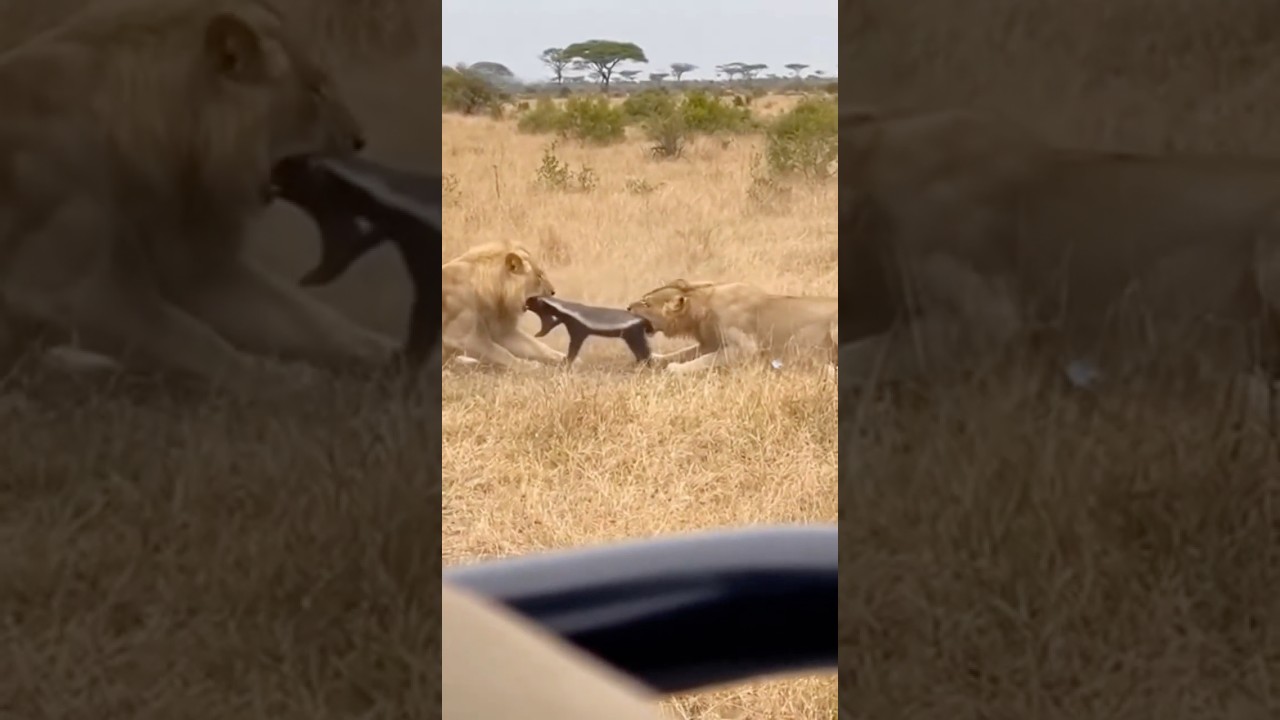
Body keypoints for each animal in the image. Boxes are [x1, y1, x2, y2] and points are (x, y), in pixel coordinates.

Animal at [0, 0, 399, 391]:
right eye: (316, 90)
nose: (360, 139)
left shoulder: (198, 267)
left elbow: (309, 319)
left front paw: (388, 353)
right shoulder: (76, 288)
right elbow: (198, 343)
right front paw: (286, 380)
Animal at [441, 241, 564, 370]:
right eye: (539, 276)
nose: (553, 291)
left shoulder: (503, 332)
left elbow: (537, 347)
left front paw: (563, 358)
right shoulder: (465, 338)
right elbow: (502, 353)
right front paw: (531, 366)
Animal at [625, 279, 839, 373]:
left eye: (645, 303)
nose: (627, 307)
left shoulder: (746, 348)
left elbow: (708, 359)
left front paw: (676, 369)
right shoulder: (710, 343)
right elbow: (685, 352)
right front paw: (656, 358)